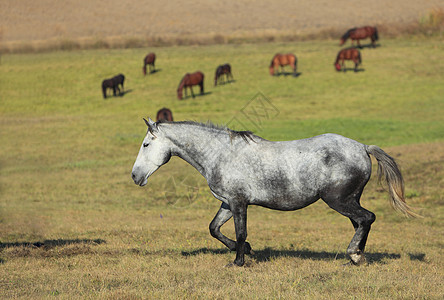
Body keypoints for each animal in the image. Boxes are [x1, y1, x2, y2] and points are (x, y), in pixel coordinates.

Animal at [133, 119, 420, 268]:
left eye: (146, 144)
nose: (135, 176)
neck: (222, 154)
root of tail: (362, 147)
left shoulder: (239, 202)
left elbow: (240, 232)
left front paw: (238, 261)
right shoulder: (227, 203)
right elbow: (214, 229)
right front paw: (247, 251)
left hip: (338, 200)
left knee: (367, 218)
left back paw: (354, 254)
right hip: (348, 200)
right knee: (361, 222)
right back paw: (357, 256)